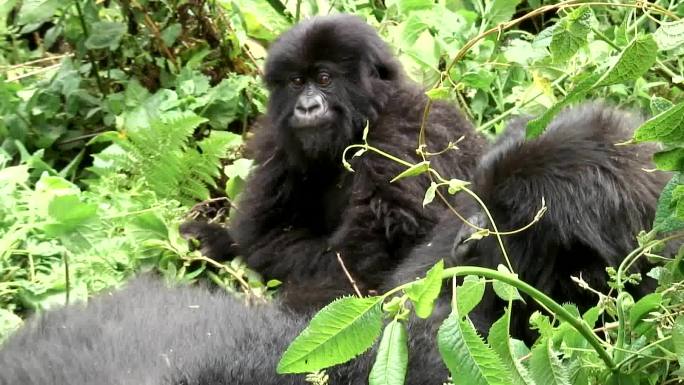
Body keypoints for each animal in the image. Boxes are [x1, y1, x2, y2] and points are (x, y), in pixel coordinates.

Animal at [179, 14, 484, 308]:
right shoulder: (278, 144)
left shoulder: (401, 141)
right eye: (297, 82)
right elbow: (265, 231)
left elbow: (366, 259)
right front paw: (214, 239)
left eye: (324, 79)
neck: (369, 114)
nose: (307, 107)